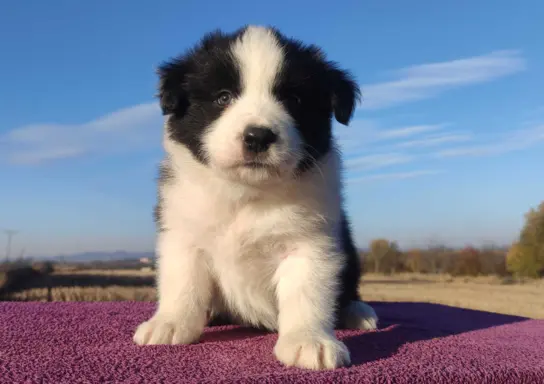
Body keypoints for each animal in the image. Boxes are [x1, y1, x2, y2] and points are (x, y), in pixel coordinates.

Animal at [133, 25, 376, 370]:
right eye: (223, 97)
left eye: (294, 99)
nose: (258, 136)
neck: (247, 194)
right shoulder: (184, 234)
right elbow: (183, 282)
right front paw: (169, 323)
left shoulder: (312, 242)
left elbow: (307, 292)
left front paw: (309, 340)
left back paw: (357, 312)